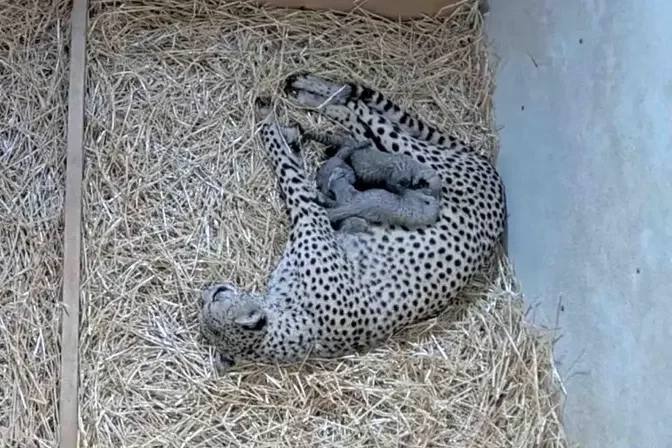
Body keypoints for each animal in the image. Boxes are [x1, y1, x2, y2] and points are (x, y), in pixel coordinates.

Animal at [202, 72, 506, 368]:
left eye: (216, 297)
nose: (208, 289)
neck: (296, 326)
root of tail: (491, 171)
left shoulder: (310, 213)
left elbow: (286, 166)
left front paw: (267, 120)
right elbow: (293, 161)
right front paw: (286, 134)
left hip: (414, 154)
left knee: (364, 111)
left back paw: (309, 90)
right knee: (361, 120)